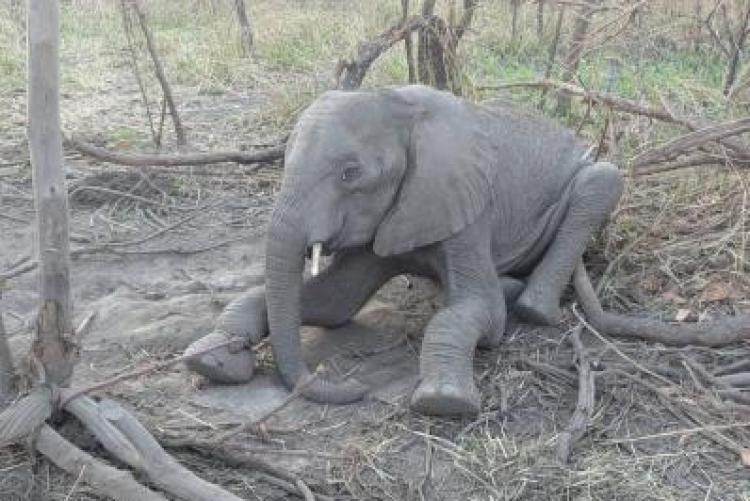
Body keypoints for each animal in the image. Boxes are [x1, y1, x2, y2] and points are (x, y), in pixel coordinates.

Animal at [184, 84, 624, 416]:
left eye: (350, 174)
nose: (354, 385)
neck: (400, 105)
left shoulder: (466, 207)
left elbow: (484, 311)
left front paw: (443, 401)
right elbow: (333, 303)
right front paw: (212, 360)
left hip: (590, 179)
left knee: (601, 183)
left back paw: (531, 305)